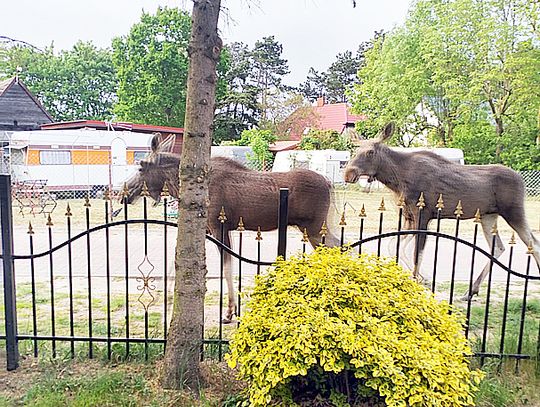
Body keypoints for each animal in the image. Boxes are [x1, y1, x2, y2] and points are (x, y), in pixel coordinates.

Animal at [124, 134, 340, 322]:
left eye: (141, 167)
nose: (123, 193)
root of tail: (329, 183)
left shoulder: (218, 226)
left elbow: (226, 267)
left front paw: (229, 312)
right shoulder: (212, 229)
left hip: (315, 227)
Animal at [344, 122, 536, 300]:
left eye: (370, 152)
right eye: (355, 150)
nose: (348, 174)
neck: (396, 178)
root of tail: (521, 180)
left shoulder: (422, 215)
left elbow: (416, 253)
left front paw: (420, 280)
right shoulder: (409, 217)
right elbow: (394, 246)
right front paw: (424, 278)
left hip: (514, 212)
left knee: (533, 243)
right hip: (488, 216)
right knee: (498, 247)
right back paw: (470, 291)